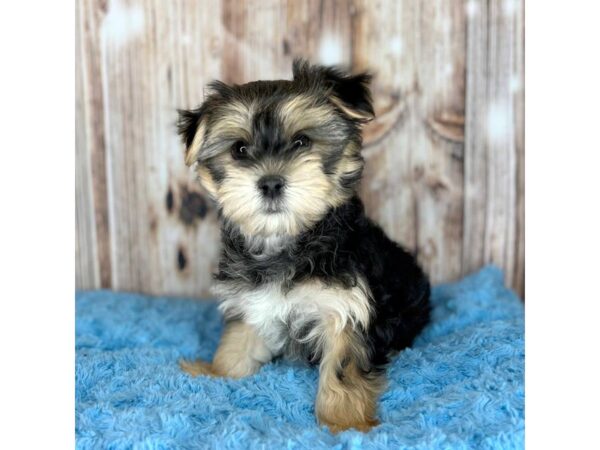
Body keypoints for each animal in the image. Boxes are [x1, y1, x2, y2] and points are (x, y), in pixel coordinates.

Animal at [178, 59, 432, 432]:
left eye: (302, 142)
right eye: (239, 149)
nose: (270, 183)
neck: (290, 241)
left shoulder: (346, 309)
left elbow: (343, 367)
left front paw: (345, 422)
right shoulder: (253, 300)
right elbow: (238, 339)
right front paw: (218, 371)